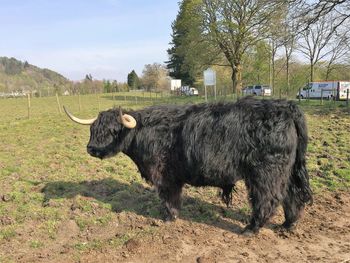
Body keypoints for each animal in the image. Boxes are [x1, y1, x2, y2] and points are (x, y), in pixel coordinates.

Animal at [64, 97, 314, 235]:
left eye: (113, 131)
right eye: (93, 129)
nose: (91, 148)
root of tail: (286, 106)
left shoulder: (164, 176)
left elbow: (169, 198)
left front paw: (168, 218)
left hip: (266, 172)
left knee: (268, 199)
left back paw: (250, 230)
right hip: (287, 171)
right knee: (292, 195)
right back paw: (287, 225)